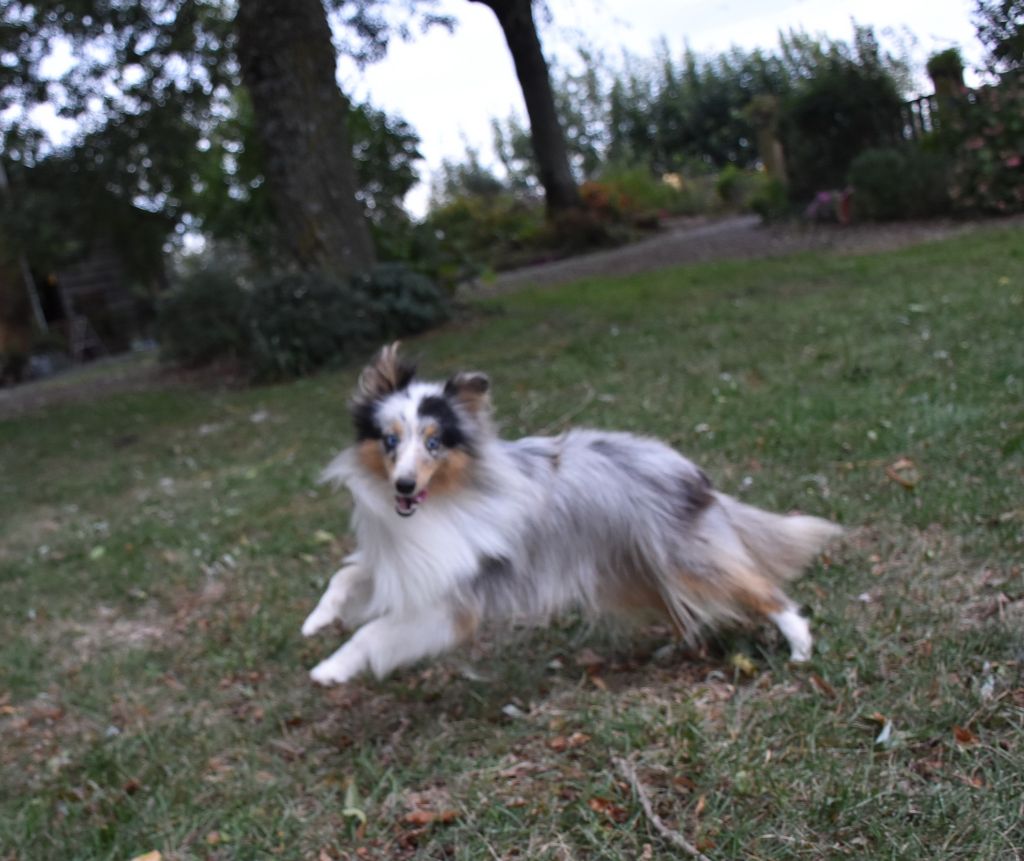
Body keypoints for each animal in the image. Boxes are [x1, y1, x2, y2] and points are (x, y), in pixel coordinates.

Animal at [301, 341, 839, 683]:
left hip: (685, 559)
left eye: (435, 442)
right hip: (631, 568)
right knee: (682, 608)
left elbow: (374, 631)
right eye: (389, 440)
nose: (405, 486)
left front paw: (330, 669)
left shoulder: (450, 598)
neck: (449, 495)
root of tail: (690, 470)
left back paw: (800, 647)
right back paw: (674, 647)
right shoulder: (402, 559)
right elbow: (345, 578)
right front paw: (316, 622)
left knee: (762, 592)